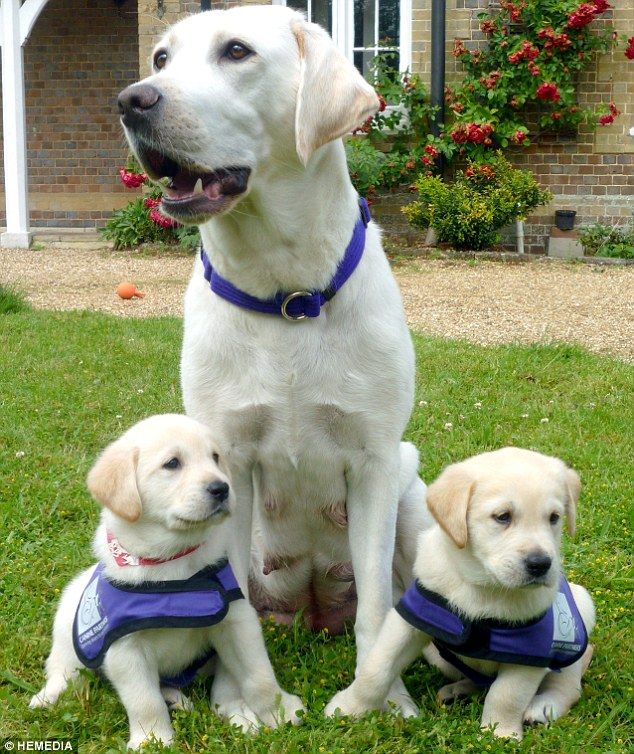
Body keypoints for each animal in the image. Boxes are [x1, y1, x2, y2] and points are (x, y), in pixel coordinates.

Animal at [30, 415, 304, 748]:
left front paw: (280, 711)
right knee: (63, 668)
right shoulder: (125, 649)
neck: (172, 564)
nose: (221, 488)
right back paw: (48, 697)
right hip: (69, 621)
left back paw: (208, 707)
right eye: (172, 463)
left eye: (215, 457)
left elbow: (258, 674)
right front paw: (151, 740)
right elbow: (144, 701)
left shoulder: (237, 622)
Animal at [116, 4, 428, 715]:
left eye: (237, 51)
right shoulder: (228, 466)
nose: (132, 101)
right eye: (161, 59)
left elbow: (377, 608)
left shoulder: (374, 462)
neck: (285, 295)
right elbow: (230, 609)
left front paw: (380, 698)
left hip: (411, 490)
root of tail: (310, 609)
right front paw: (244, 699)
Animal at [325, 448, 596, 740]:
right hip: (439, 659)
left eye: (554, 518)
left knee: (569, 681)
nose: (541, 564)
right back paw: (456, 691)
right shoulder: (411, 622)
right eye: (503, 516)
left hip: (581, 609)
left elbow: (506, 695)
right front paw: (348, 707)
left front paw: (498, 735)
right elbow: (376, 668)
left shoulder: (530, 649)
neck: (483, 586)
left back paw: (543, 707)